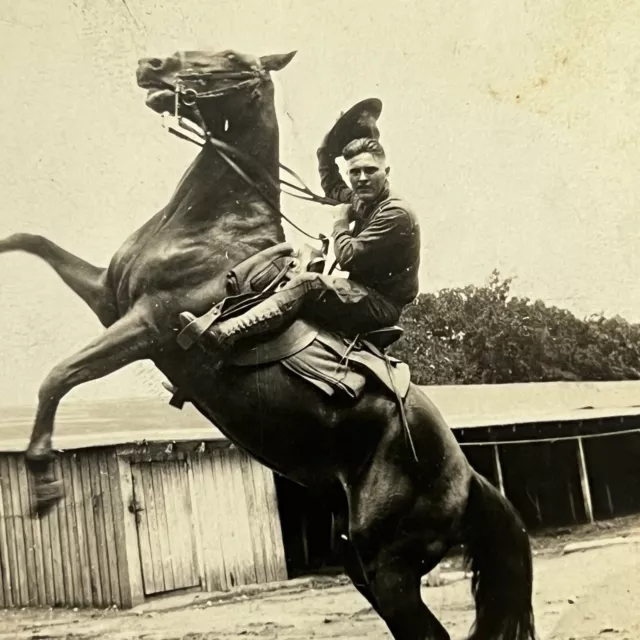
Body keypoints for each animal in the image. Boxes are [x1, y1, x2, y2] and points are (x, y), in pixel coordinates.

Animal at [0, 48, 536, 640]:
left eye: (234, 58)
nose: (152, 65)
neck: (213, 224)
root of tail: (468, 478)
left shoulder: (148, 325)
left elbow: (58, 376)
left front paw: (44, 485)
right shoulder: (104, 295)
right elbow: (29, 241)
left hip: (390, 562)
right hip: (358, 561)